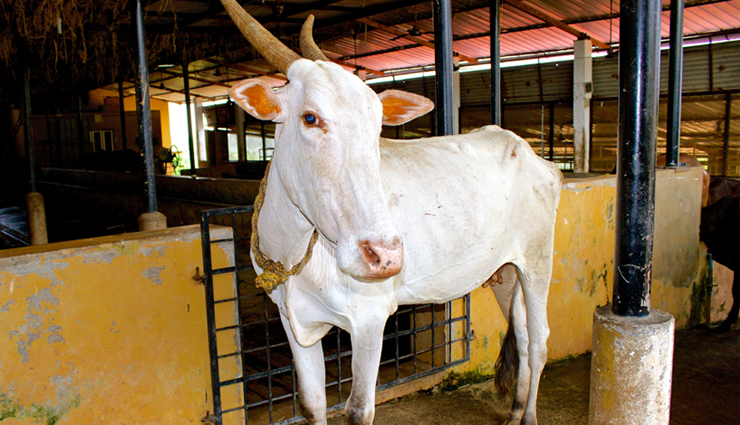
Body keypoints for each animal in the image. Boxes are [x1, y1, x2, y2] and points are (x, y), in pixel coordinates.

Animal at [218, 1, 563, 424]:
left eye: (377, 124)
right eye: (310, 118)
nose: (385, 255)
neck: (295, 252)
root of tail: (533, 155)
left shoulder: (370, 316)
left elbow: (358, 410)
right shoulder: (291, 317)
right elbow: (313, 402)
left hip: (538, 260)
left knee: (540, 341)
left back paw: (528, 414)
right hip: (504, 272)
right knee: (523, 334)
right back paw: (515, 410)